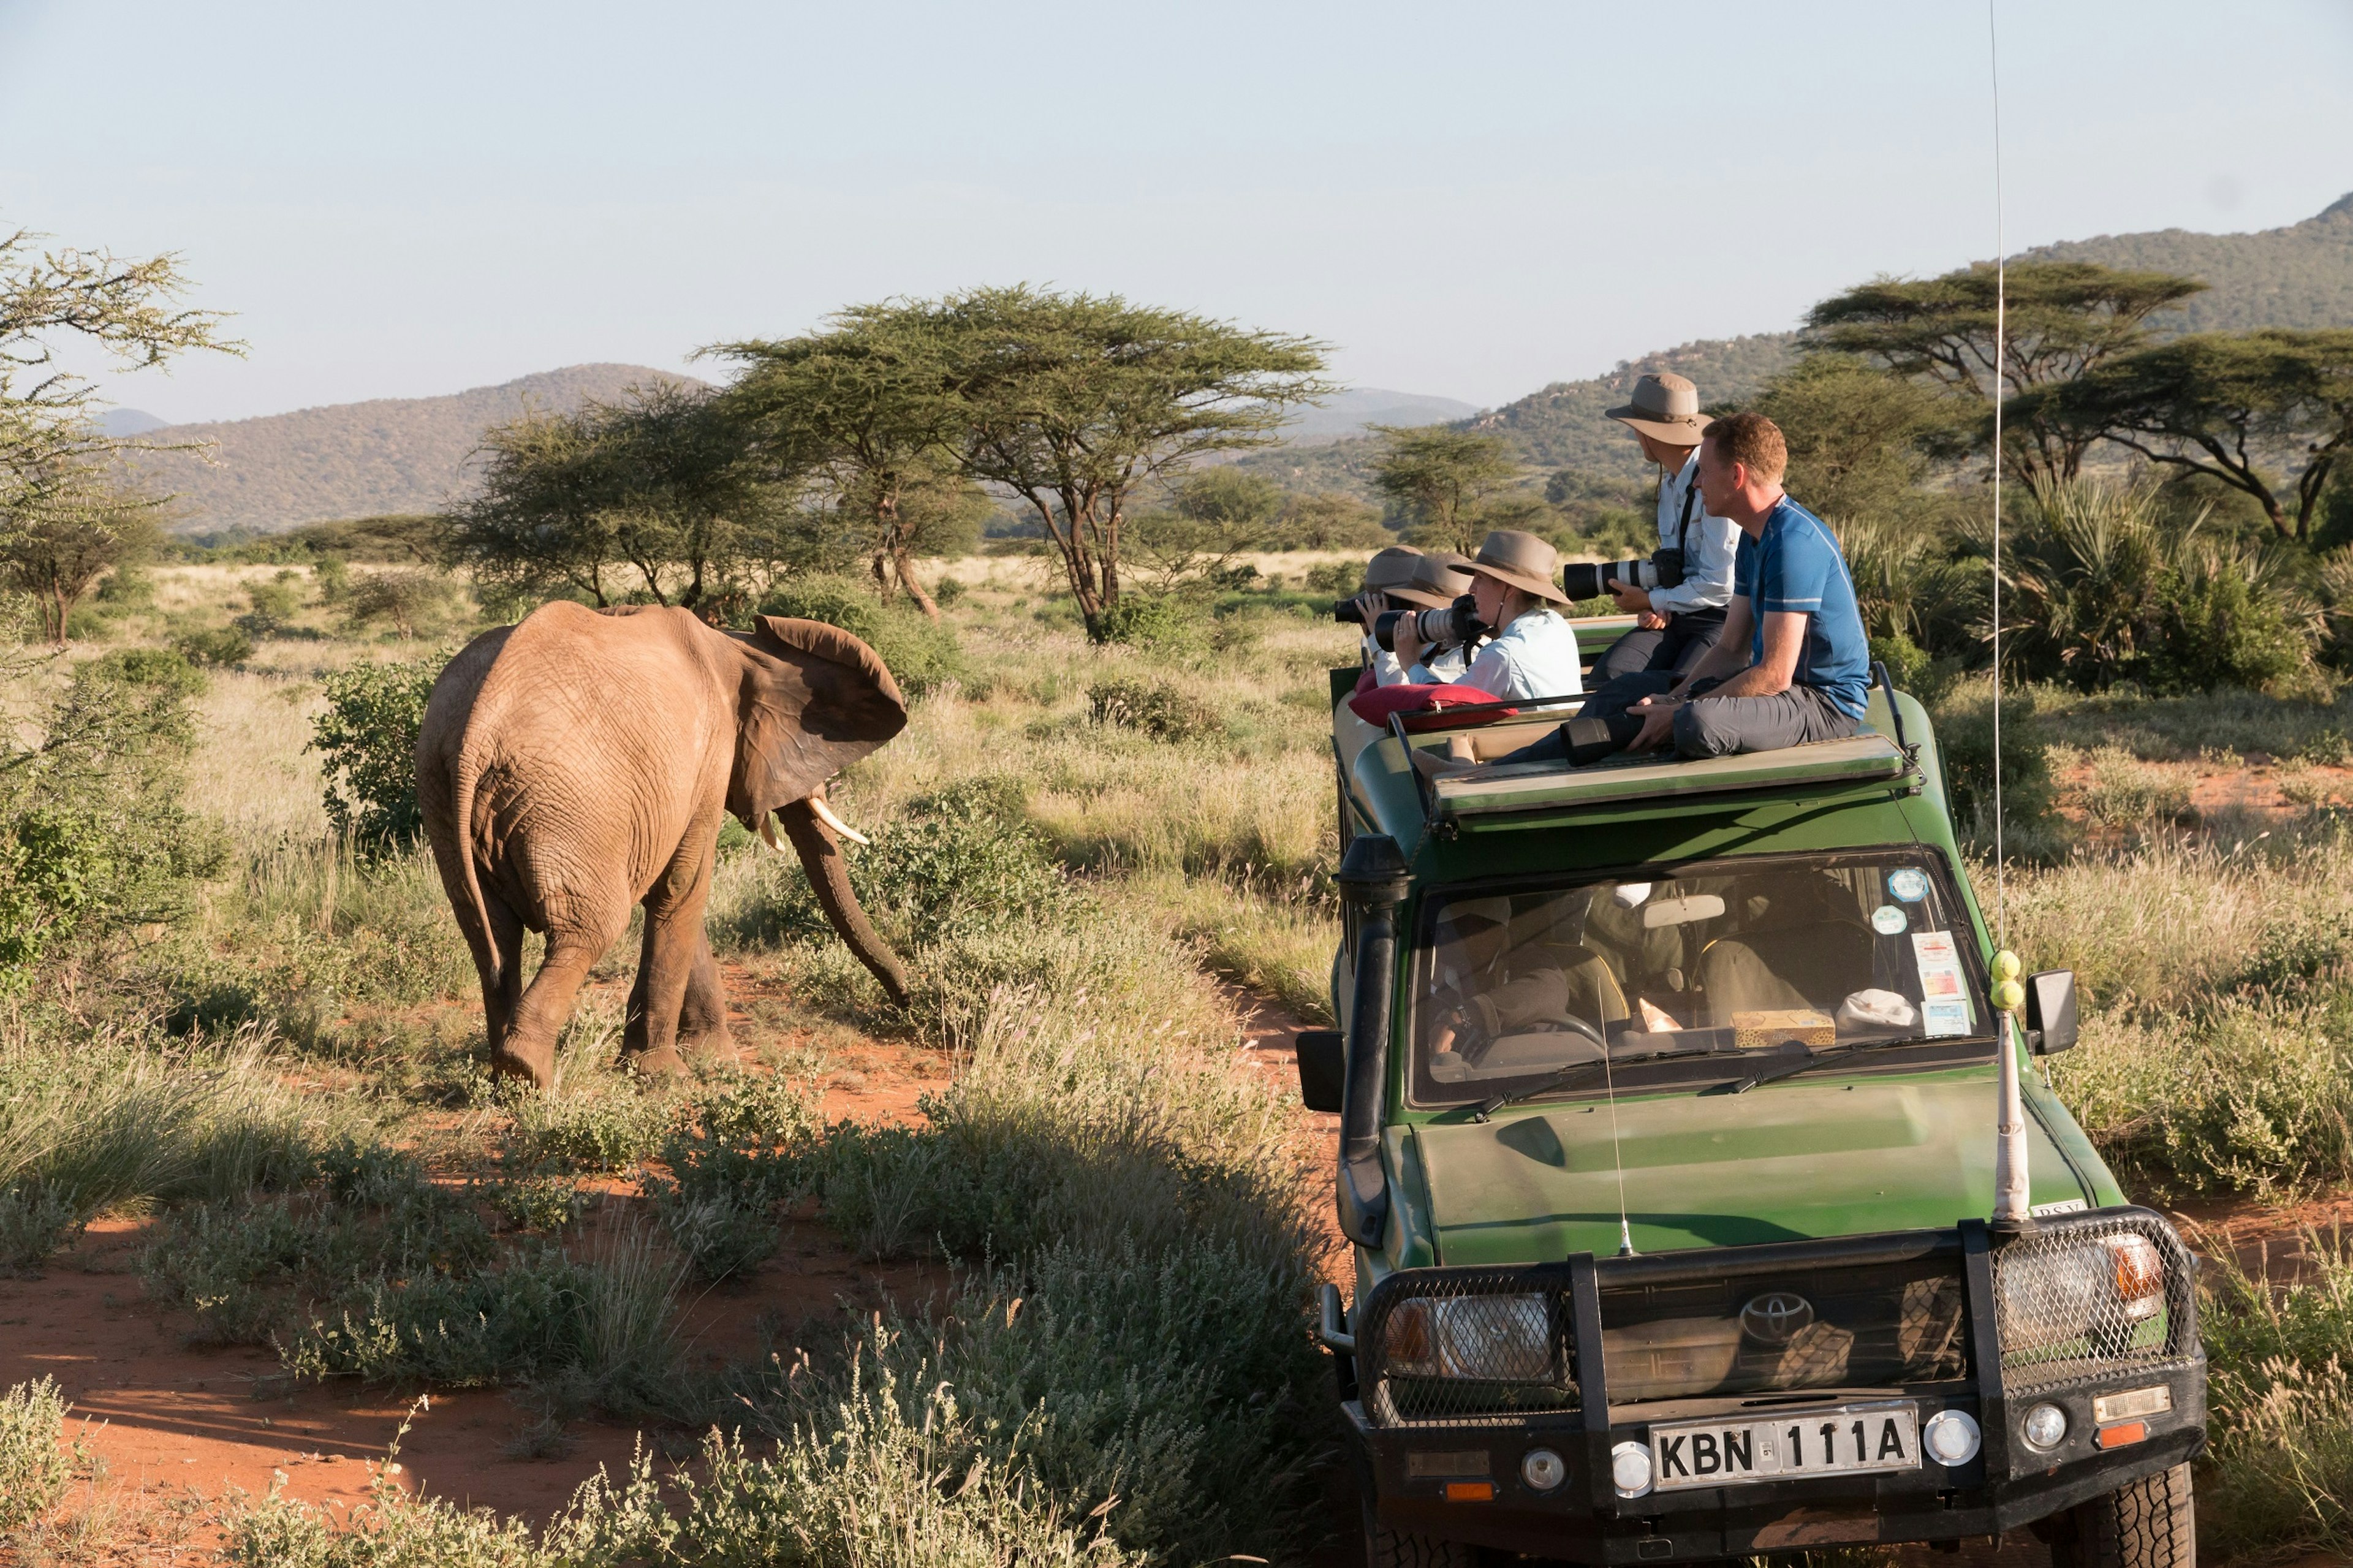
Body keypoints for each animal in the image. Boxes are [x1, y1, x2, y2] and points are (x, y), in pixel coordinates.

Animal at [419, 597, 903, 1088]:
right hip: (571, 801)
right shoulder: (710, 755)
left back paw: (500, 1079)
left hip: (443, 794)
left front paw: (711, 1058)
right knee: (591, 928)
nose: (905, 1001)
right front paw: (664, 1074)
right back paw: (528, 1073)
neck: (736, 644)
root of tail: (478, 730)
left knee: (490, 934)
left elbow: (670, 893)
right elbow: (683, 886)